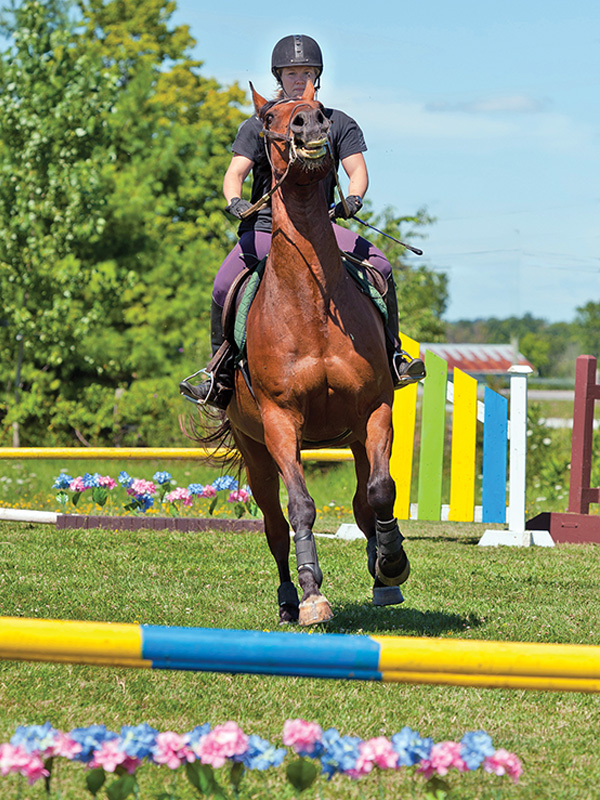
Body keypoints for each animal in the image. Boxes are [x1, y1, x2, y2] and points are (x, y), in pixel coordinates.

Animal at [200, 81, 410, 626]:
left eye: (321, 111)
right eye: (270, 117)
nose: (309, 126)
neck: (312, 306)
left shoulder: (374, 409)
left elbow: (380, 492)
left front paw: (391, 563)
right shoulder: (279, 421)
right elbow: (301, 507)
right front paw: (314, 594)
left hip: (354, 437)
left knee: (362, 500)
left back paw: (380, 573)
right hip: (255, 451)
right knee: (274, 525)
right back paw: (288, 601)